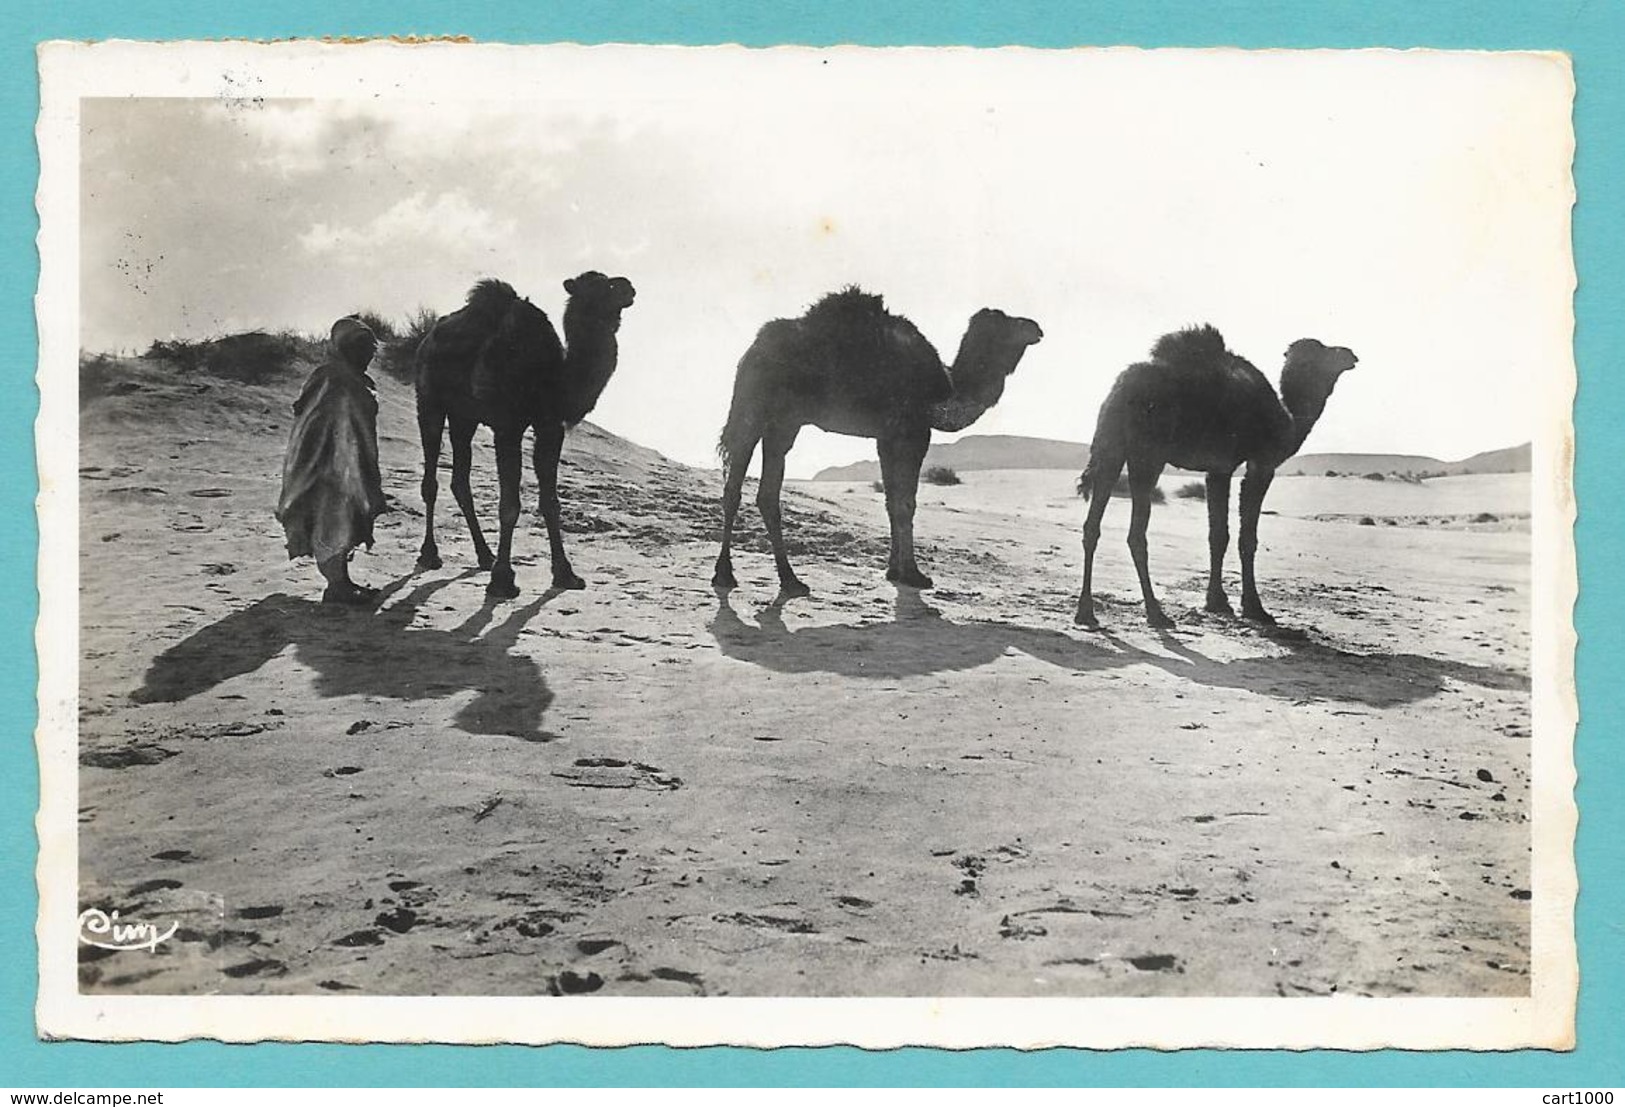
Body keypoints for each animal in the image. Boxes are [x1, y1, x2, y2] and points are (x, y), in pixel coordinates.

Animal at [416, 274, 637, 594]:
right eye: (602, 285)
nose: (629, 287)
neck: (550, 375)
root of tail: (427, 338)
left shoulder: (550, 426)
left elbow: (551, 503)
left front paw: (566, 574)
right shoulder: (507, 427)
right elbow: (509, 505)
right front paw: (503, 580)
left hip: (464, 417)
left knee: (460, 481)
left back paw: (485, 555)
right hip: (429, 401)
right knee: (431, 480)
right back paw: (430, 554)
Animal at [711, 289, 1040, 591]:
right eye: (1005, 321)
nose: (1036, 327)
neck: (944, 391)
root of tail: (752, 350)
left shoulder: (887, 437)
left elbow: (891, 500)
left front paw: (894, 571)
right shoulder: (913, 432)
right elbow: (906, 503)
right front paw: (915, 575)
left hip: (783, 423)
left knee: (763, 492)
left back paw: (787, 579)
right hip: (756, 410)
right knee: (736, 488)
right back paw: (731, 575)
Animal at [1072, 323, 1352, 627]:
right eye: (1323, 350)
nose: (1350, 354)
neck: (1287, 422)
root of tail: (1121, 388)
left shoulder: (1218, 469)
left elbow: (1218, 535)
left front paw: (1217, 602)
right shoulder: (1261, 464)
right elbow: (1246, 538)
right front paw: (1255, 608)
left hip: (1111, 449)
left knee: (1093, 524)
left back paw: (1086, 612)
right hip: (1148, 453)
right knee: (1136, 533)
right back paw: (1156, 613)